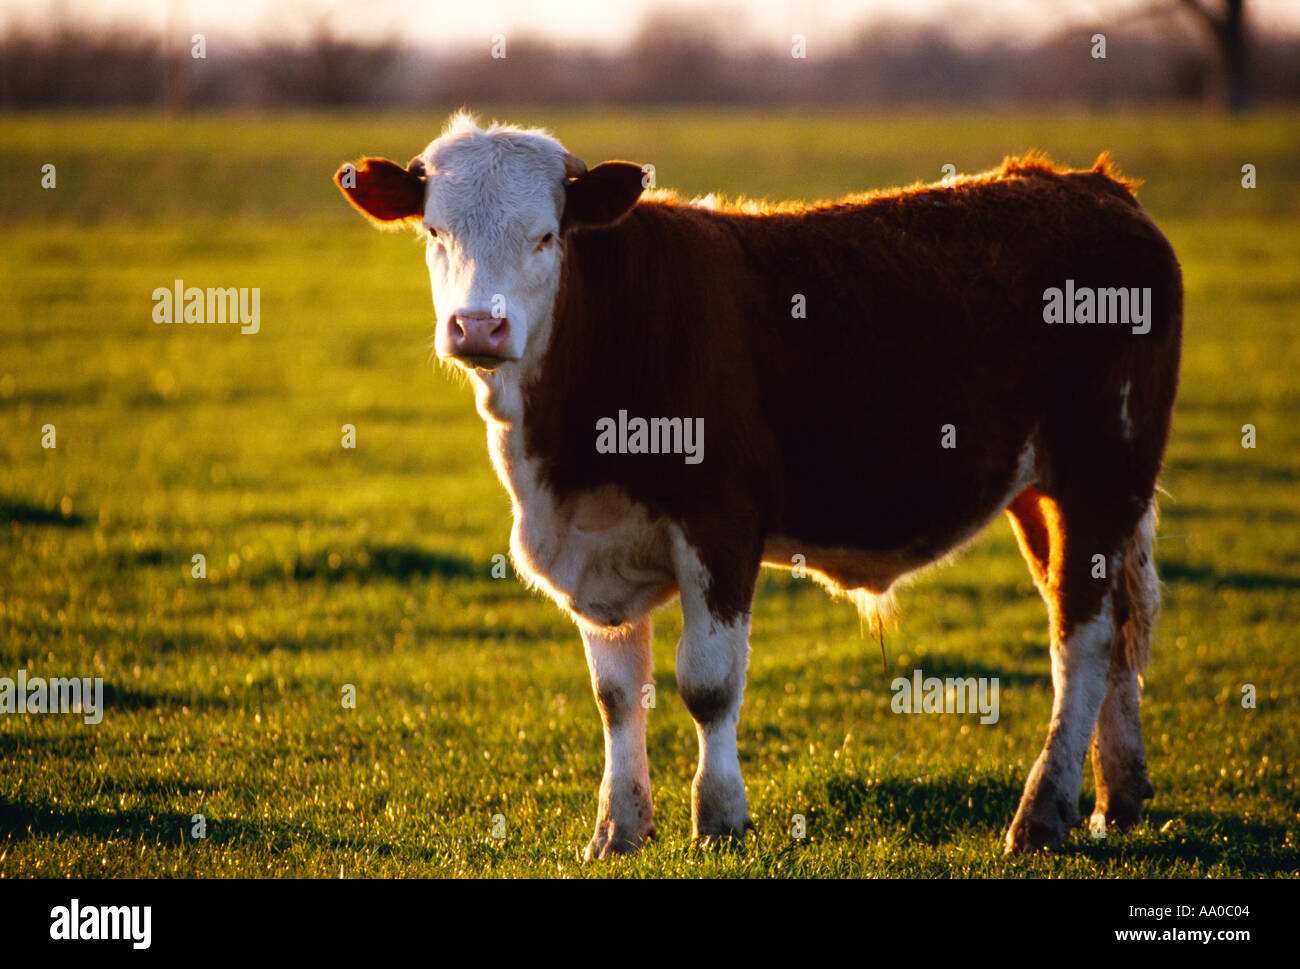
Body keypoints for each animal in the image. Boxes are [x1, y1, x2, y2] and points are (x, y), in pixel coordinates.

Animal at [334, 113, 1182, 859]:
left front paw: (720, 819)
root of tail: (1091, 185)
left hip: (1103, 470)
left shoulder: (722, 522)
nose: (479, 327)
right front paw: (618, 828)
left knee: (1082, 635)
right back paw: (1115, 799)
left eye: (547, 236)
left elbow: (707, 682)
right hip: (1045, 494)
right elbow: (617, 694)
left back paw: (1042, 813)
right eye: (436, 233)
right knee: (1110, 624)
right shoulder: (593, 547)